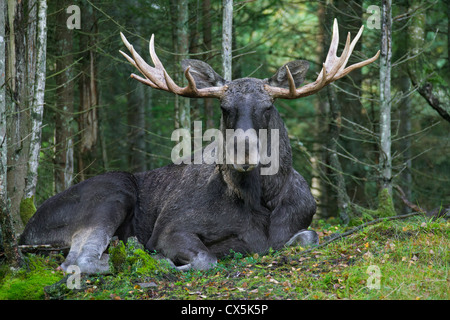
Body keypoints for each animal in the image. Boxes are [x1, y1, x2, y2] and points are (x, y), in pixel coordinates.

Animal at [21, 20, 380, 274]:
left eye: (268, 108)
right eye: (224, 108)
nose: (243, 153)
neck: (262, 202)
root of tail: (25, 233)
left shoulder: (297, 227)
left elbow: (308, 237)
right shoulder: (171, 229)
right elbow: (207, 258)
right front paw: (166, 259)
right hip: (111, 191)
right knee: (76, 261)